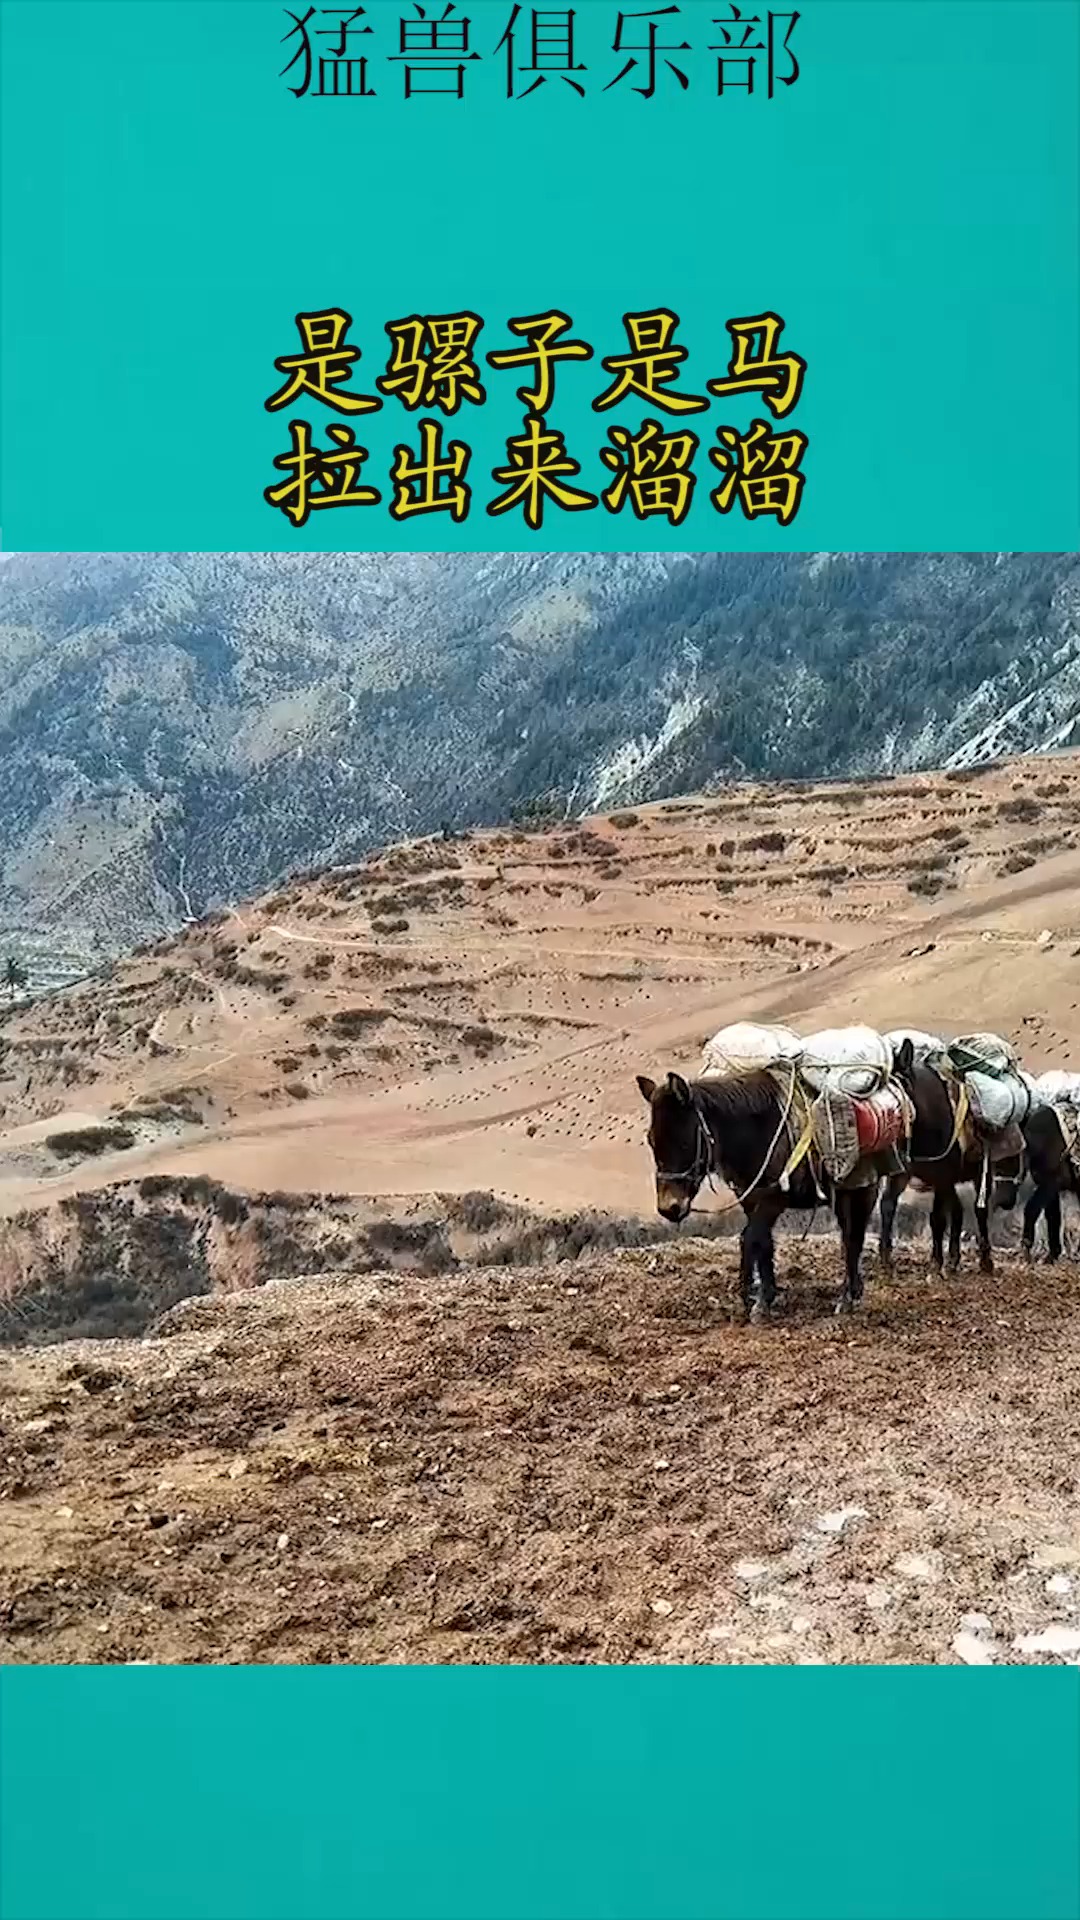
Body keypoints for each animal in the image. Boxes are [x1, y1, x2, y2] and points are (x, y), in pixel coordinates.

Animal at [635, 1068, 878, 1320]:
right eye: (651, 1141)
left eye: (684, 1142)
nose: (669, 1208)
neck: (758, 1131)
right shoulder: (750, 1198)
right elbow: (757, 1241)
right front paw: (757, 1294)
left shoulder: (772, 1200)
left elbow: (754, 1237)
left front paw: (757, 1301)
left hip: (861, 1190)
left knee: (853, 1237)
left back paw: (847, 1298)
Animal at [880, 1037, 999, 1275]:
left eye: (898, 1092)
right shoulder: (904, 1173)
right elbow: (888, 1204)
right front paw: (886, 1257)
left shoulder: (942, 1177)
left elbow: (937, 1218)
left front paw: (936, 1261)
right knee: (958, 1210)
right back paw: (953, 1259)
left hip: (979, 1174)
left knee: (979, 1211)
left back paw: (985, 1261)